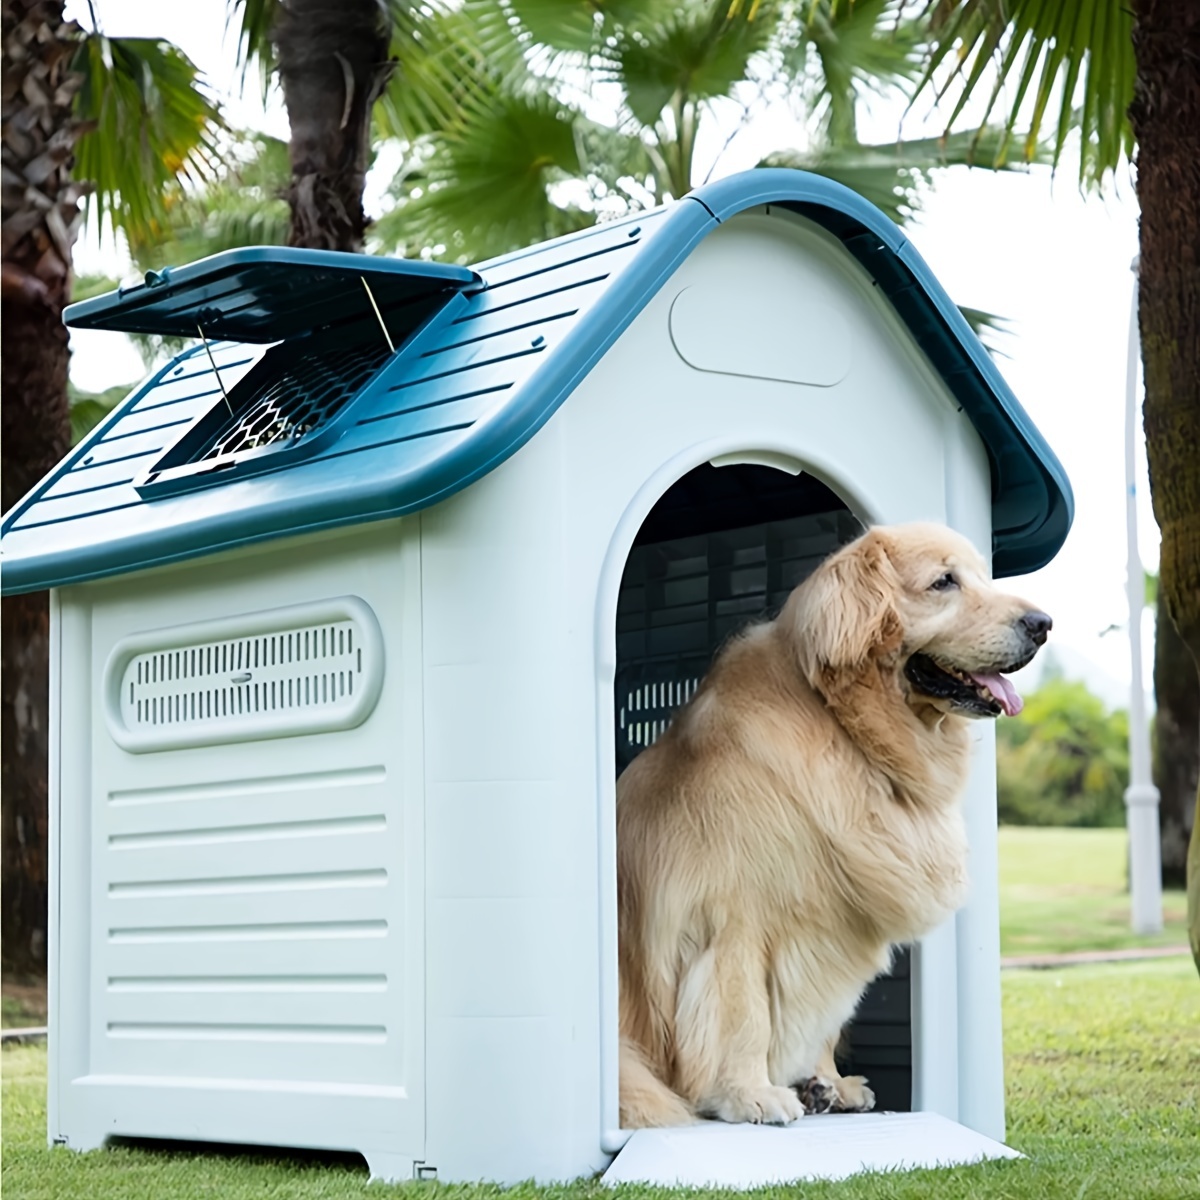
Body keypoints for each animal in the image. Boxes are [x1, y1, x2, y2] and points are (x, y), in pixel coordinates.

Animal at [619, 520, 1051, 1128]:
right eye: (944, 582)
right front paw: (750, 1093)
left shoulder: (831, 926)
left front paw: (824, 1081)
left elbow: (822, 1015)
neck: (844, 728)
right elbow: (745, 1015)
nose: (1043, 624)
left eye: (982, 577)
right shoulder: (730, 918)